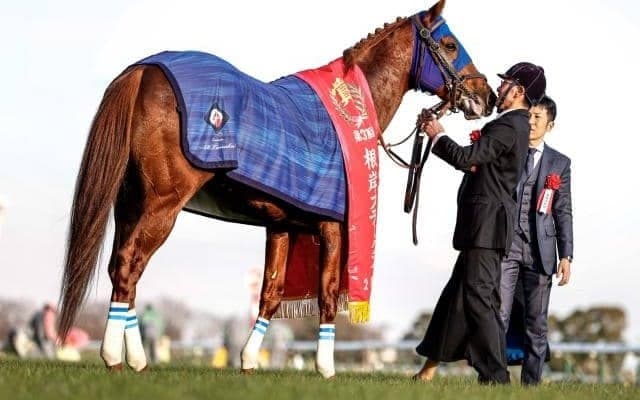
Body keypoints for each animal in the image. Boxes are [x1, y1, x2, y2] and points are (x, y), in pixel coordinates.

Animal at [59, 0, 496, 377]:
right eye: (450, 44)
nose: (485, 96)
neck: (346, 113)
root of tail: (144, 70)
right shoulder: (334, 226)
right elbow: (327, 293)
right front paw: (326, 368)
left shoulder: (284, 225)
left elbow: (271, 291)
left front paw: (249, 361)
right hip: (162, 204)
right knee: (129, 264)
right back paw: (115, 357)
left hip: (130, 203)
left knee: (119, 267)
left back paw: (136, 360)